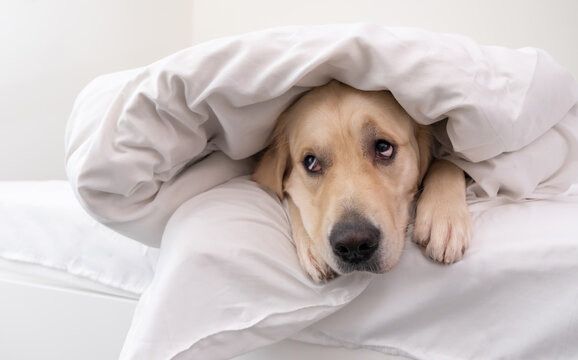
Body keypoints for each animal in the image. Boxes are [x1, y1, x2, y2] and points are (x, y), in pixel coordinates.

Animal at [251, 80, 468, 282]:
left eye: (383, 148)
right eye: (311, 162)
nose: (353, 244)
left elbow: (450, 160)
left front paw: (443, 215)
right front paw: (311, 242)